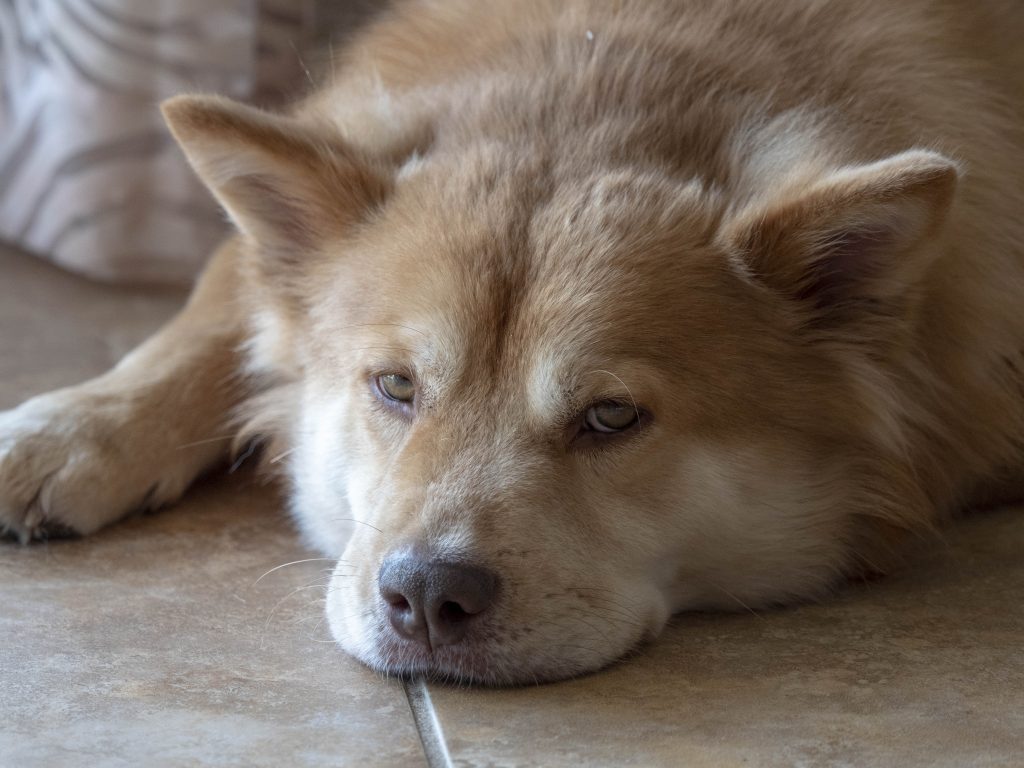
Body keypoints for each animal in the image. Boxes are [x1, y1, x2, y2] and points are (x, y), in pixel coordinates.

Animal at [2, 0, 1024, 684]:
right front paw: (67, 429)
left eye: (611, 417)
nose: (425, 597)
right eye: (395, 387)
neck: (603, 77)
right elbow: (209, 322)